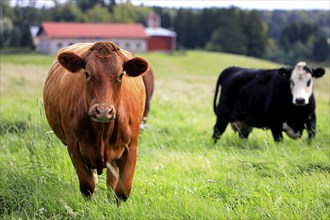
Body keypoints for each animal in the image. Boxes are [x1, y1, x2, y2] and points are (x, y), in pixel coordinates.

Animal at [43, 41, 149, 201]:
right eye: (87, 73)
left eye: (121, 75)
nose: (104, 111)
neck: (102, 132)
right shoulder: (74, 147)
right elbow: (88, 186)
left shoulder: (131, 147)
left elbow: (122, 191)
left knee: (112, 180)